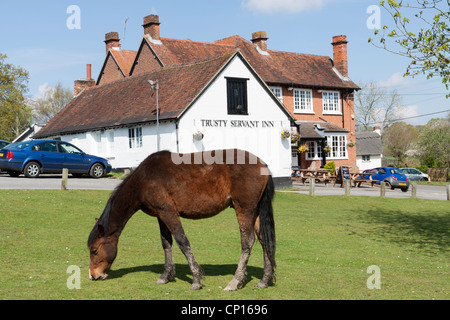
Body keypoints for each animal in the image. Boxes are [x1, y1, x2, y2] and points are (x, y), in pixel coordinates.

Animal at [86, 149, 276, 292]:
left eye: (94, 250)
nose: (93, 275)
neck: (144, 180)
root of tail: (263, 165)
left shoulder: (169, 213)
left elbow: (182, 242)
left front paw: (196, 280)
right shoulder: (161, 216)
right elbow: (166, 244)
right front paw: (165, 276)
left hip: (244, 209)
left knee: (247, 242)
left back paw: (235, 282)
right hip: (256, 212)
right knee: (264, 241)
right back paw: (264, 281)